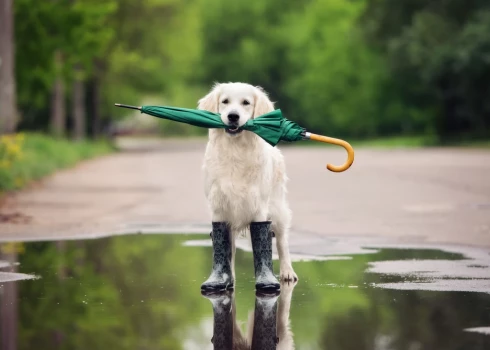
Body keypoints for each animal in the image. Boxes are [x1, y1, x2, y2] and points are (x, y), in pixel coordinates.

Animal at [197, 81, 296, 282]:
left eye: (246, 103)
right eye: (225, 101)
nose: (233, 116)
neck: (236, 150)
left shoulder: (259, 206)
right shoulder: (219, 206)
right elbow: (225, 247)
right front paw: (224, 278)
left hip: (277, 208)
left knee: (282, 241)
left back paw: (287, 272)